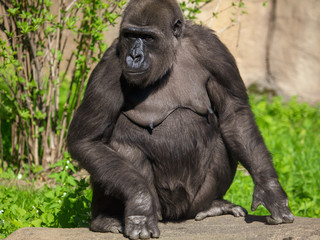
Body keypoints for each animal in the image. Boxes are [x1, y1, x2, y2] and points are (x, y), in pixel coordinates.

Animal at [67, 0, 292, 238]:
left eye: (148, 37)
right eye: (130, 35)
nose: (134, 56)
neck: (171, 53)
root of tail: (175, 215)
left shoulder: (213, 49)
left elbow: (234, 113)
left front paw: (270, 189)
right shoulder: (110, 64)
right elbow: (87, 141)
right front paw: (140, 202)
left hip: (192, 203)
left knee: (225, 138)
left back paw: (212, 205)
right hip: (161, 209)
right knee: (116, 148)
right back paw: (106, 218)